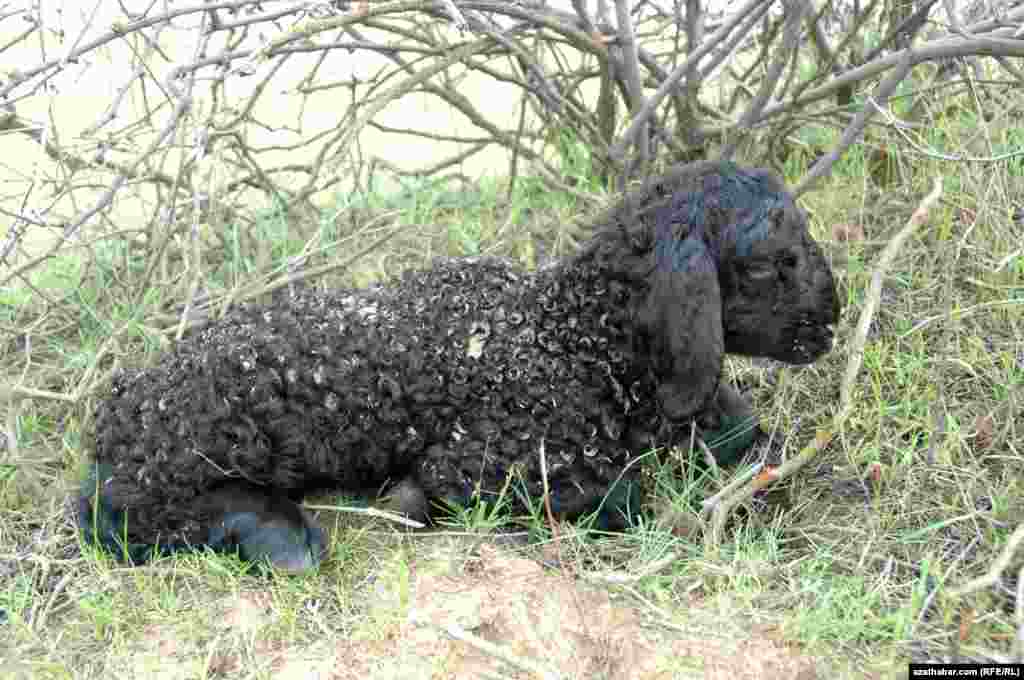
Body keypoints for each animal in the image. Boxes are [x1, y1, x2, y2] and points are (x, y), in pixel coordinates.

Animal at [77, 161, 839, 569]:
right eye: (771, 263)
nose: (831, 323)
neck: (579, 338)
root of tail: (117, 411)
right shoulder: (485, 463)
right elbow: (628, 494)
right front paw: (408, 502)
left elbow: (746, 431)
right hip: (204, 444)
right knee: (114, 515)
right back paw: (280, 537)